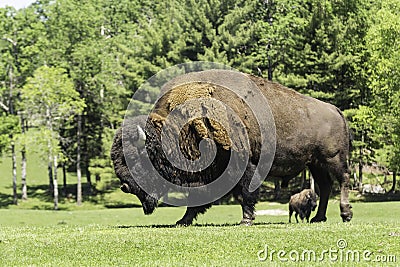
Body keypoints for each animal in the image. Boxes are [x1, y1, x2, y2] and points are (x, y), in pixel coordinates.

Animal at [111, 69, 352, 226]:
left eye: (135, 158)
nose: (125, 186)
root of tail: (335, 110)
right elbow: (197, 199)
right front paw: (183, 221)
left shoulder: (241, 163)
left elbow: (245, 193)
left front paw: (246, 220)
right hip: (315, 163)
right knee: (326, 186)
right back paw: (318, 218)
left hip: (334, 158)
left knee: (343, 180)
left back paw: (345, 214)